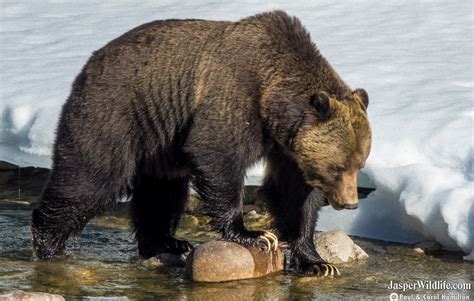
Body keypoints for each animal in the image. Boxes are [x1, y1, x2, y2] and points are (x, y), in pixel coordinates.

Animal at [31, 10, 372, 276]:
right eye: (338, 165)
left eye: (359, 163)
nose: (350, 203)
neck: (273, 103)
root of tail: (88, 64)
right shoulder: (234, 100)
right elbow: (217, 156)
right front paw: (256, 235)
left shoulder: (287, 148)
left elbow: (294, 196)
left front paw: (318, 262)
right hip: (114, 114)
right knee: (90, 179)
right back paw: (46, 242)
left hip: (158, 144)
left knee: (162, 193)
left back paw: (169, 242)